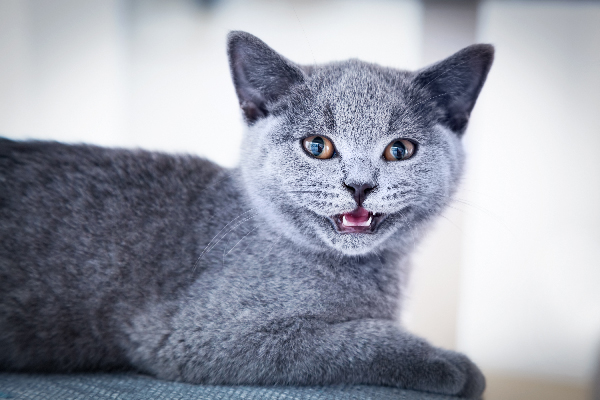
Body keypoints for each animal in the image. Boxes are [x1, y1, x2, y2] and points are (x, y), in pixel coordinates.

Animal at [0, 30, 492, 396]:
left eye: (400, 150)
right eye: (317, 146)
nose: (359, 185)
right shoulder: (204, 335)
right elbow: (356, 338)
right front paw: (451, 365)